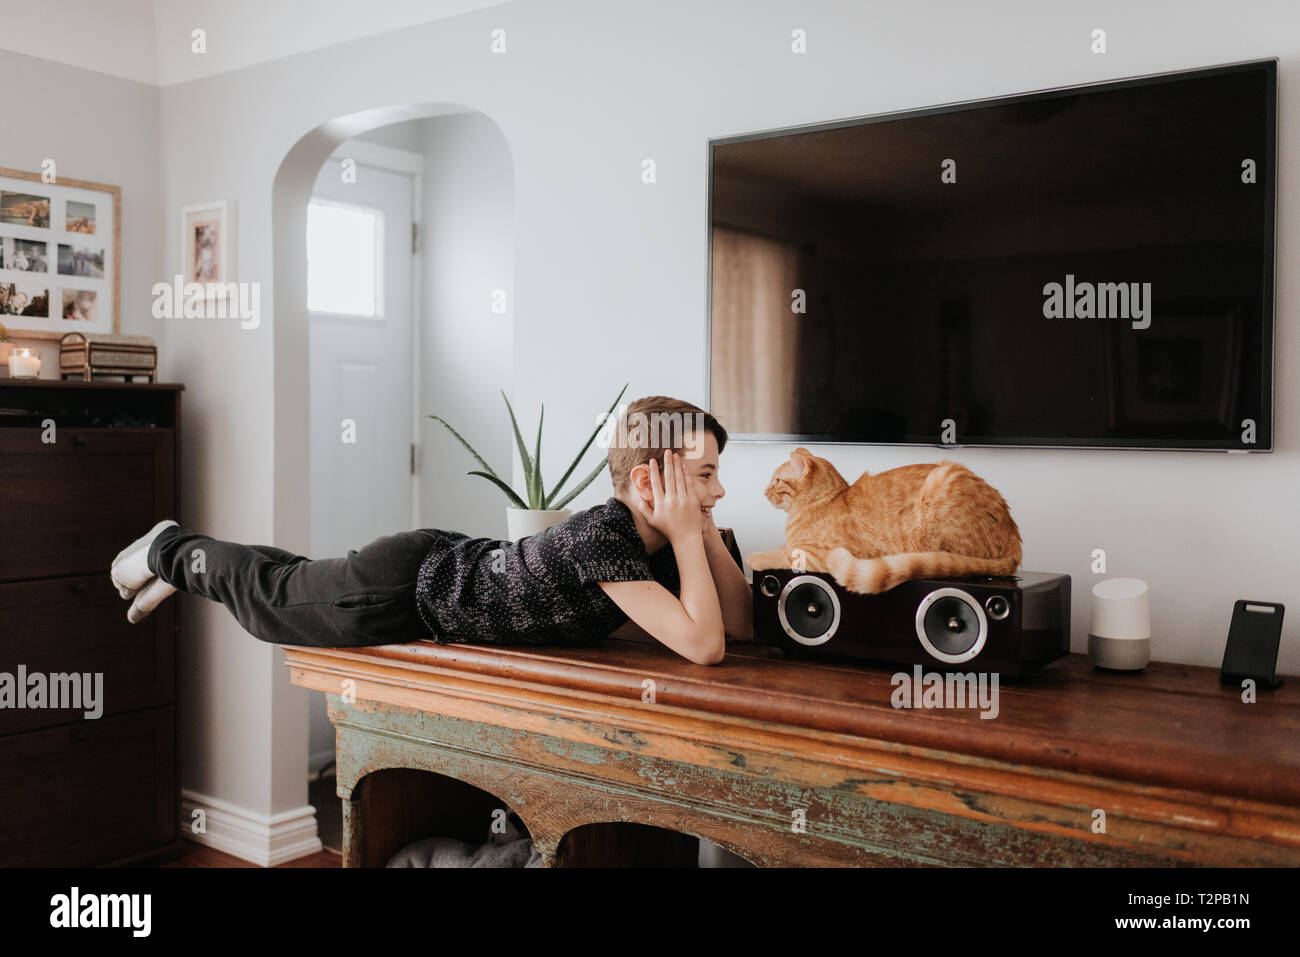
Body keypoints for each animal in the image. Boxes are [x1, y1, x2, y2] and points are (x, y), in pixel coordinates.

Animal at [748, 447, 1019, 590]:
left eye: (777, 480)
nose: (763, 491)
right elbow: (781, 548)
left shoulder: (814, 554)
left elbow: (779, 554)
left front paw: (754, 558)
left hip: (940, 485)